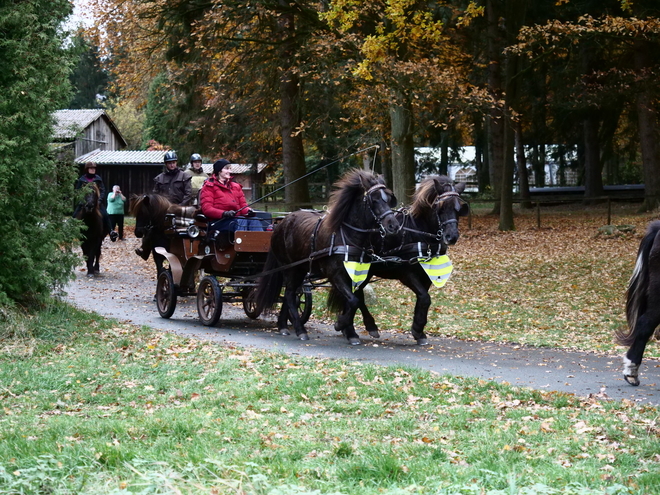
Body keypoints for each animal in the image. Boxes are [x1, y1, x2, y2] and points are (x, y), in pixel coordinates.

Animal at [251, 170, 398, 344]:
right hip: (290, 268)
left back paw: (283, 326)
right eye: (374, 200)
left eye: (389, 199)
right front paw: (341, 324)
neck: (347, 236)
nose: (394, 225)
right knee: (290, 294)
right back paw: (300, 330)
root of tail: (280, 224)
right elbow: (353, 301)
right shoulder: (336, 275)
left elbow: (357, 299)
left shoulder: (358, 274)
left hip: (300, 270)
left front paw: (359, 329)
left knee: (290, 295)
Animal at [328, 177, 466, 344]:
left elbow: (423, 299)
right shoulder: (407, 274)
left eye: (459, 209)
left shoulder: (427, 275)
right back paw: (355, 328)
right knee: (356, 297)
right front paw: (417, 329)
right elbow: (425, 298)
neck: (417, 231)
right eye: (440, 208)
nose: (452, 237)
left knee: (355, 295)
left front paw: (419, 332)